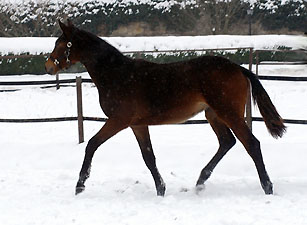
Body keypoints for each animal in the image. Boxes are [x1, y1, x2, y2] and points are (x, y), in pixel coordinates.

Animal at [45, 20, 286, 197]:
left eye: (61, 44)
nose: (48, 66)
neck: (117, 75)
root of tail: (238, 67)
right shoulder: (137, 125)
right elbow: (148, 156)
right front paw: (161, 189)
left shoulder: (119, 120)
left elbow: (92, 145)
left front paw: (80, 186)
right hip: (213, 114)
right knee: (227, 142)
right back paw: (200, 181)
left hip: (229, 113)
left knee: (251, 144)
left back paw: (267, 187)